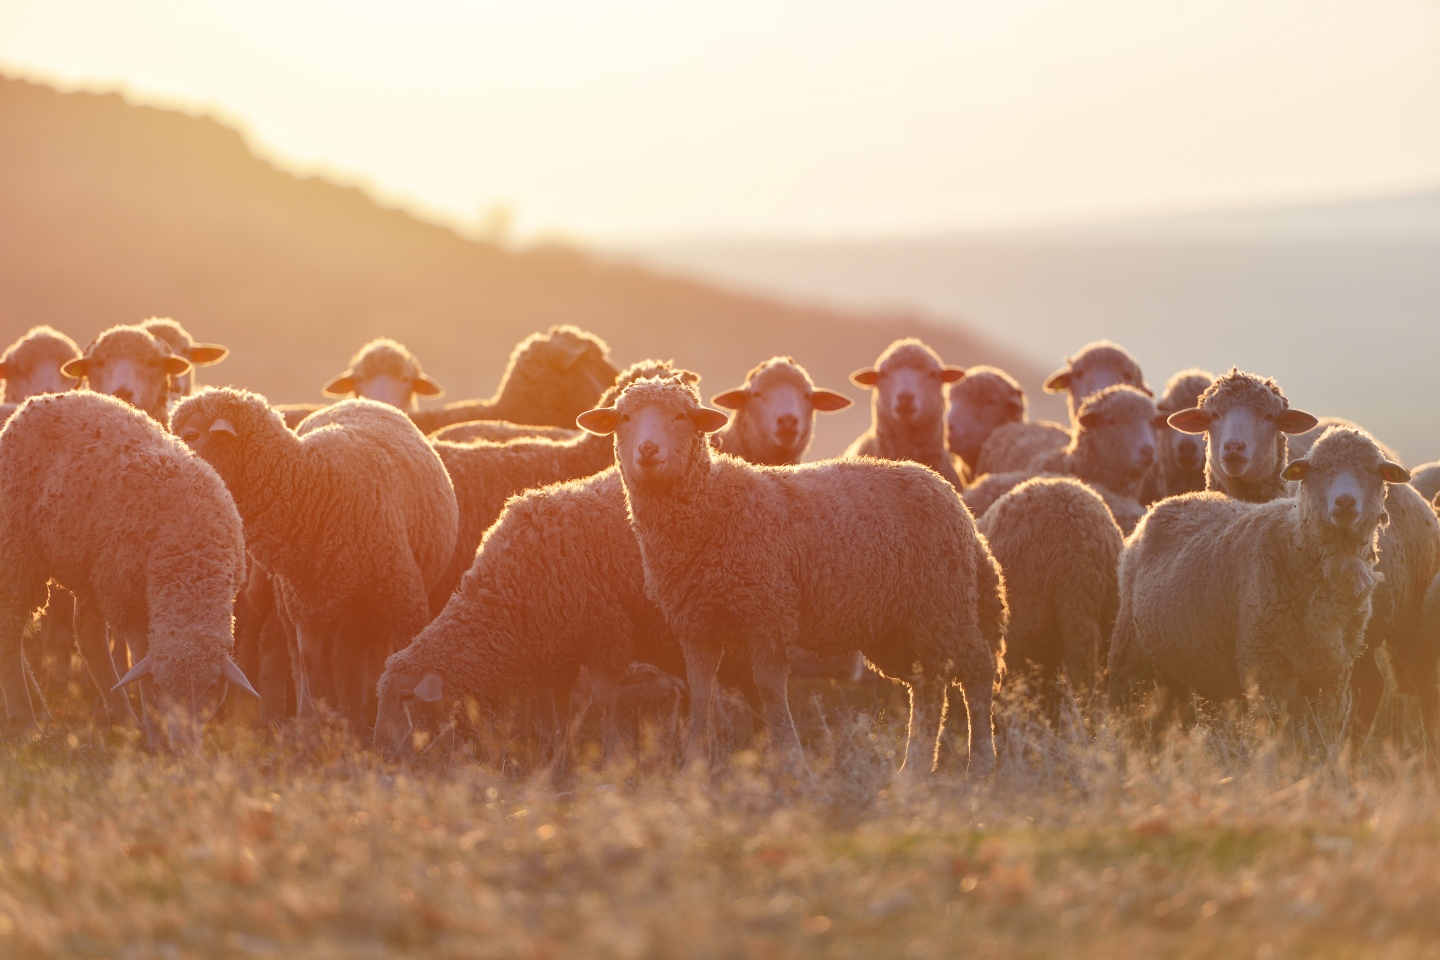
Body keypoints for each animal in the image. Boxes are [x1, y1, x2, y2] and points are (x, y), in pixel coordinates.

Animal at [0, 391, 255, 749]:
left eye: (211, 687)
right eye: (162, 686)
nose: (184, 748)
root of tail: (37, 401)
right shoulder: (131, 601)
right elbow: (141, 659)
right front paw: (155, 732)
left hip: (93, 567)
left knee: (87, 634)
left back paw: (113, 716)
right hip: (18, 545)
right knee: (10, 626)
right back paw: (24, 719)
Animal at [170, 389, 459, 733]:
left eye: (191, 434)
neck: (315, 488)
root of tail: (359, 400)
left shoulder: (406, 602)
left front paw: (418, 730)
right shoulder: (305, 610)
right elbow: (309, 671)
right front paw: (308, 731)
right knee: (337, 662)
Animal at [578, 375, 1006, 777]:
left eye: (681, 416)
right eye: (624, 418)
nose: (648, 450)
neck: (712, 504)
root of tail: (950, 493)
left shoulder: (768, 610)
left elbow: (769, 688)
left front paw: (792, 761)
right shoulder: (695, 623)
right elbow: (700, 692)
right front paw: (693, 767)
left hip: (945, 602)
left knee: (977, 671)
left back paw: (981, 763)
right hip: (900, 624)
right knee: (929, 685)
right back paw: (913, 768)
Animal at [1108, 427, 1409, 733]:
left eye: (1373, 471)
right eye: (1318, 469)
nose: (1345, 502)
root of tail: (1166, 503)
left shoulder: (1334, 671)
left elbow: (1321, 733)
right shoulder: (1264, 663)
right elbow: (1277, 730)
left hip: (1177, 664)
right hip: (1128, 653)